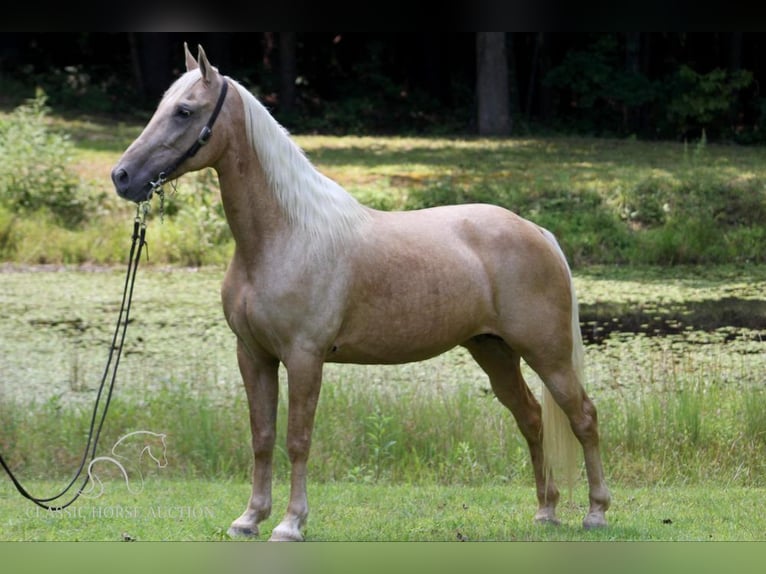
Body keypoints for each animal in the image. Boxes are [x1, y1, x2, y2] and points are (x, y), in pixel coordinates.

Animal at [111, 46, 612, 544]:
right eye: (161, 106)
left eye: (184, 111)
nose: (122, 176)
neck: (285, 234)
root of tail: (538, 232)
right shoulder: (253, 355)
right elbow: (262, 437)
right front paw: (250, 518)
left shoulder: (304, 357)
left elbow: (297, 439)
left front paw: (290, 523)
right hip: (494, 351)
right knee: (531, 417)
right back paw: (545, 511)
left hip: (547, 354)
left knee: (584, 417)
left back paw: (596, 512)